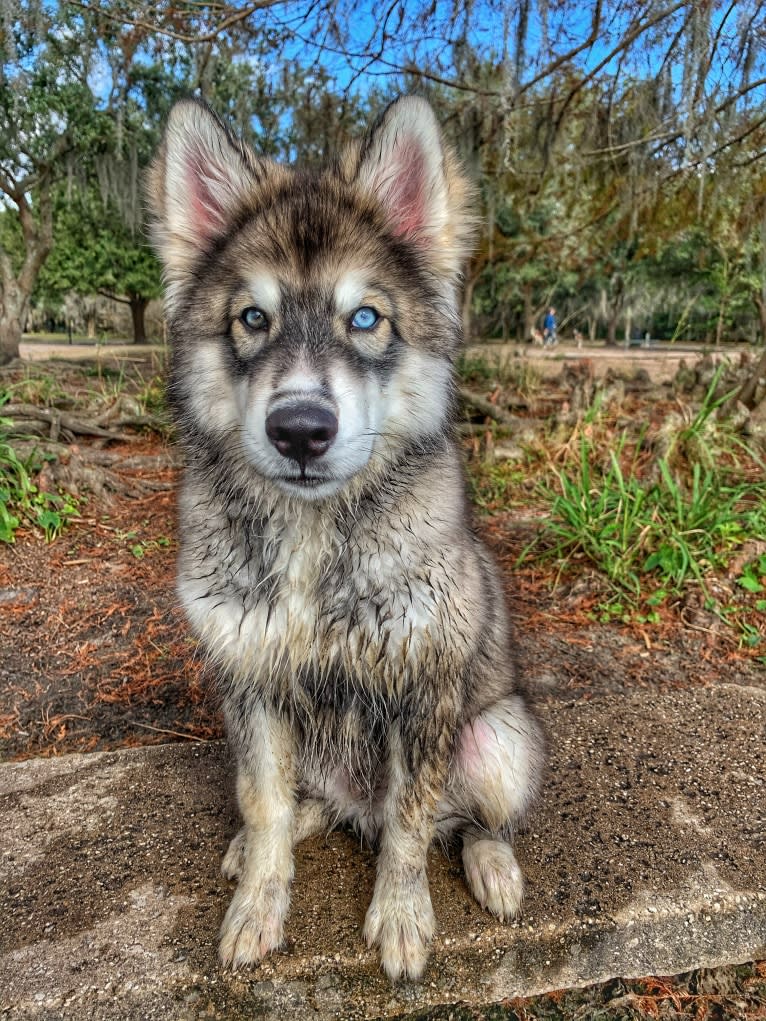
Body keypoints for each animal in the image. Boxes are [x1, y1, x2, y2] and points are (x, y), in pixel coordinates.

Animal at [150, 93, 547, 980]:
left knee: (462, 817)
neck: (314, 536)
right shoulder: (252, 679)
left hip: (500, 736)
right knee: (314, 806)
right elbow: (263, 800)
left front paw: (401, 915)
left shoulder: (423, 689)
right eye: (252, 319)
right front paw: (258, 901)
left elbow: (409, 821)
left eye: (365, 318)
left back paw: (493, 862)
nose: (300, 429)